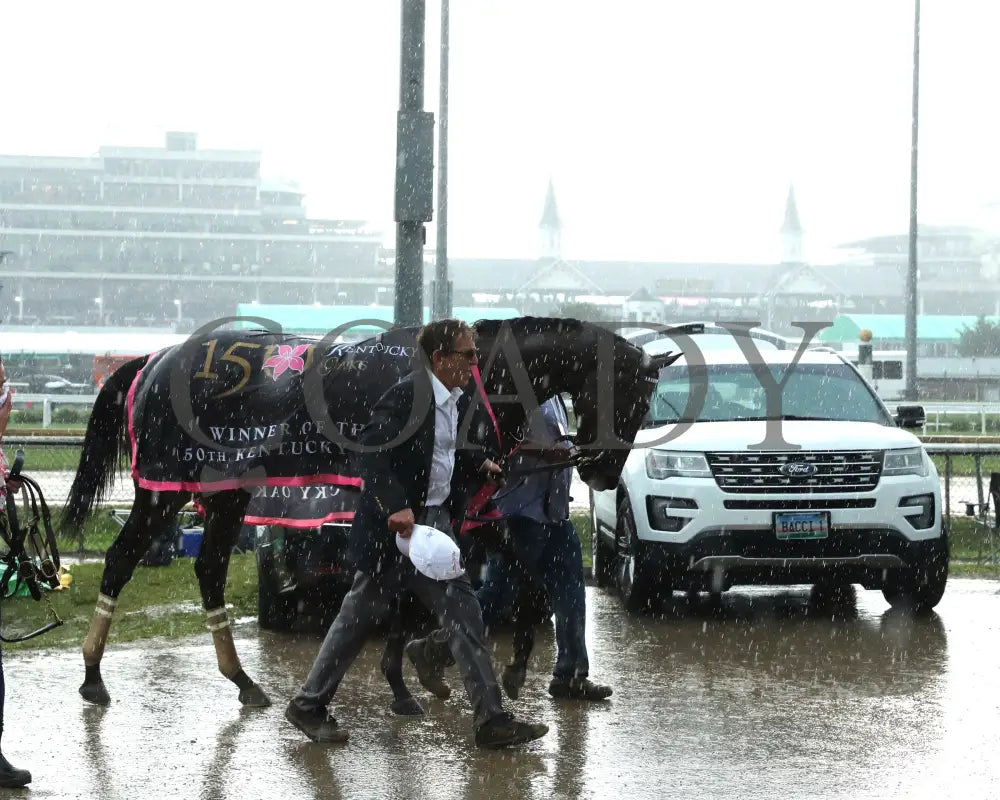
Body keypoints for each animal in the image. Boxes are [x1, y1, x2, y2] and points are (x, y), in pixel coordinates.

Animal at [60, 316, 672, 708]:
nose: (602, 474)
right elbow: (423, 590)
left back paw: (243, 681)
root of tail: (156, 359)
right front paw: (415, 674)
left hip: (228, 491)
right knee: (121, 559)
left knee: (208, 568)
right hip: (164, 486)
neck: (478, 381)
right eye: (634, 399)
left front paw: (502, 666)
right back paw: (92, 676)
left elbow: (516, 578)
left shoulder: (464, 505)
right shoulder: (445, 502)